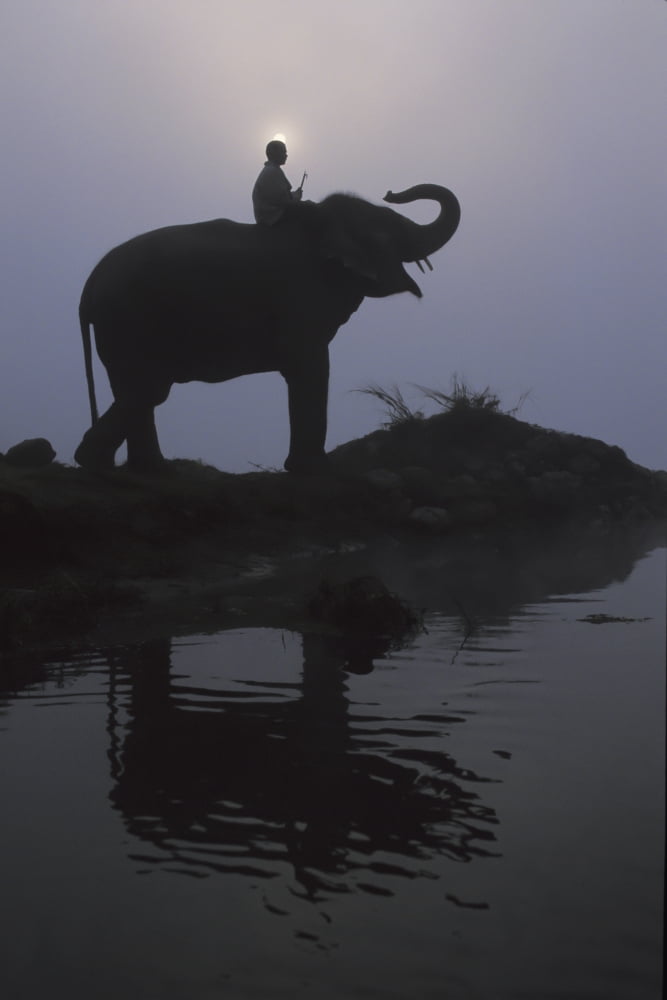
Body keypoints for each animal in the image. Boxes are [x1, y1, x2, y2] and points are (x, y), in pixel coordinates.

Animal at [74, 183, 460, 474]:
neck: (320, 224)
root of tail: (88, 287)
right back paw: (102, 463)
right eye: (390, 227)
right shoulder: (299, 296)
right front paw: (315, 469)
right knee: (149, 388)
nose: (392, 192)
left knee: (138, 390)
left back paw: (146, 468)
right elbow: (311, 366)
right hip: (129, 319)